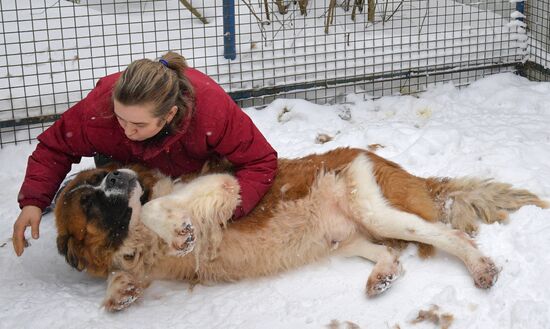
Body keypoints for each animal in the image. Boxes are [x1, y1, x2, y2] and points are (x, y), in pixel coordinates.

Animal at [54, 146, 548, 310]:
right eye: (87, 199)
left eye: (105, 177)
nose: (119, 176)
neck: (134, 237)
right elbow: (122, 274)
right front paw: (121, 291)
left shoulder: (225, 186)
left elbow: (160, 208)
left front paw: (178, 230)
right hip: (343, 241)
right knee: (389, 254)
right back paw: (381, 276)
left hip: (378, 211)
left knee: (451, 236)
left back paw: (481, 268)